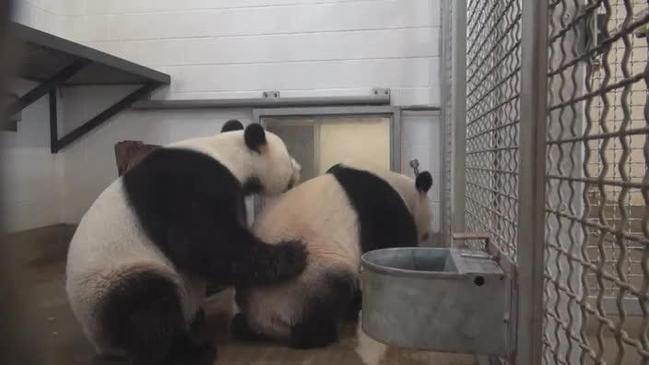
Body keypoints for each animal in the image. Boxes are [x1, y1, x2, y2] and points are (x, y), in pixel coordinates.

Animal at [66, 123, 306, 364]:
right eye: (287, 155)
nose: (299, 168)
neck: (223, 152)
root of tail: (102, 343)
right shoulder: (190, 183)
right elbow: (204, 241)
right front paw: (293, 254)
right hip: (116, 278)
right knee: (152, 311)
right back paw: (192, 352)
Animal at [230, 164, 432, 348]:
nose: (427, 238)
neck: (399, 186)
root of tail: (265, 322)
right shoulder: (380, 208)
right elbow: (391, 241)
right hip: (307, 279)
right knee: (335, 292)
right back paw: (322, 332)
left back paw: (241, 326)